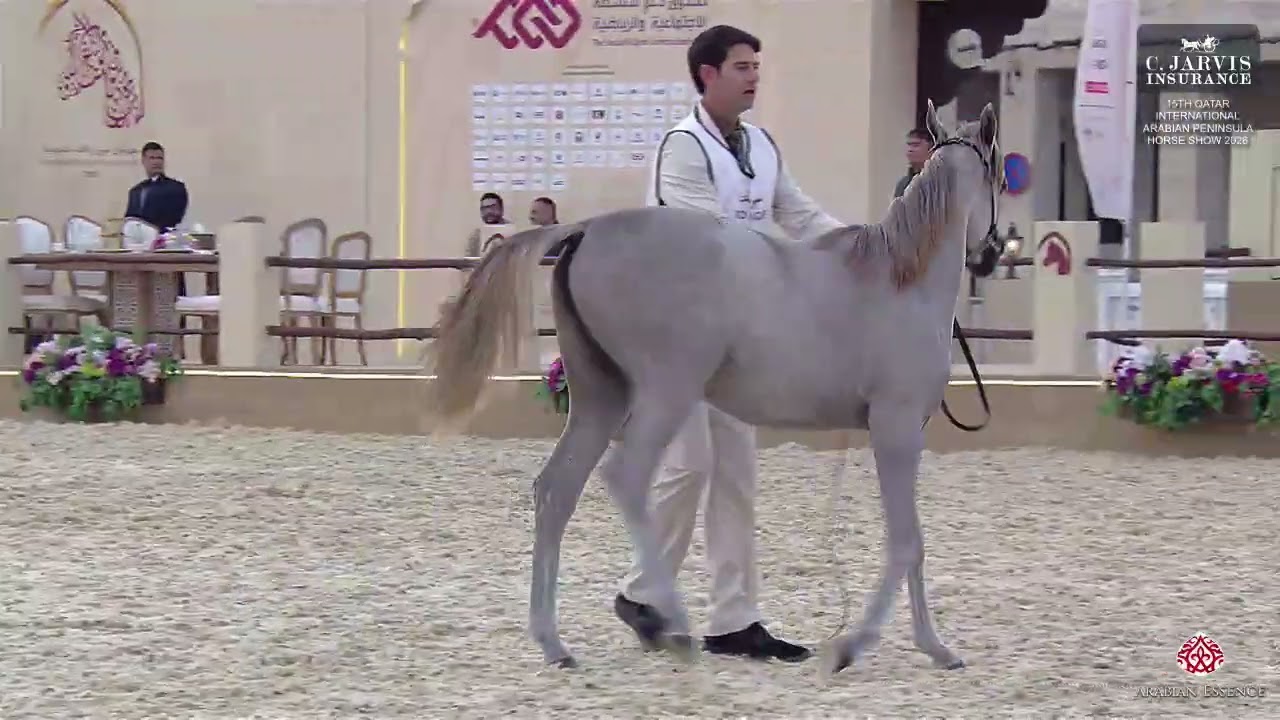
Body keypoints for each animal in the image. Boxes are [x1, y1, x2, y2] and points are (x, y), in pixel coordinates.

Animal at [427, 99, 1006, 678]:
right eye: (1000, 173)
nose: (995, 251)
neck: (899, 283)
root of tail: (588, 228)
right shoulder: (896, 429)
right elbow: (906, 542)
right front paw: (869, 646)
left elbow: (911, 542)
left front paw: (919, 646)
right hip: (664, 395)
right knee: (626, 478)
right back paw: (670, 624)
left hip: (599, 397)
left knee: (556, 491)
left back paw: (556, 643)